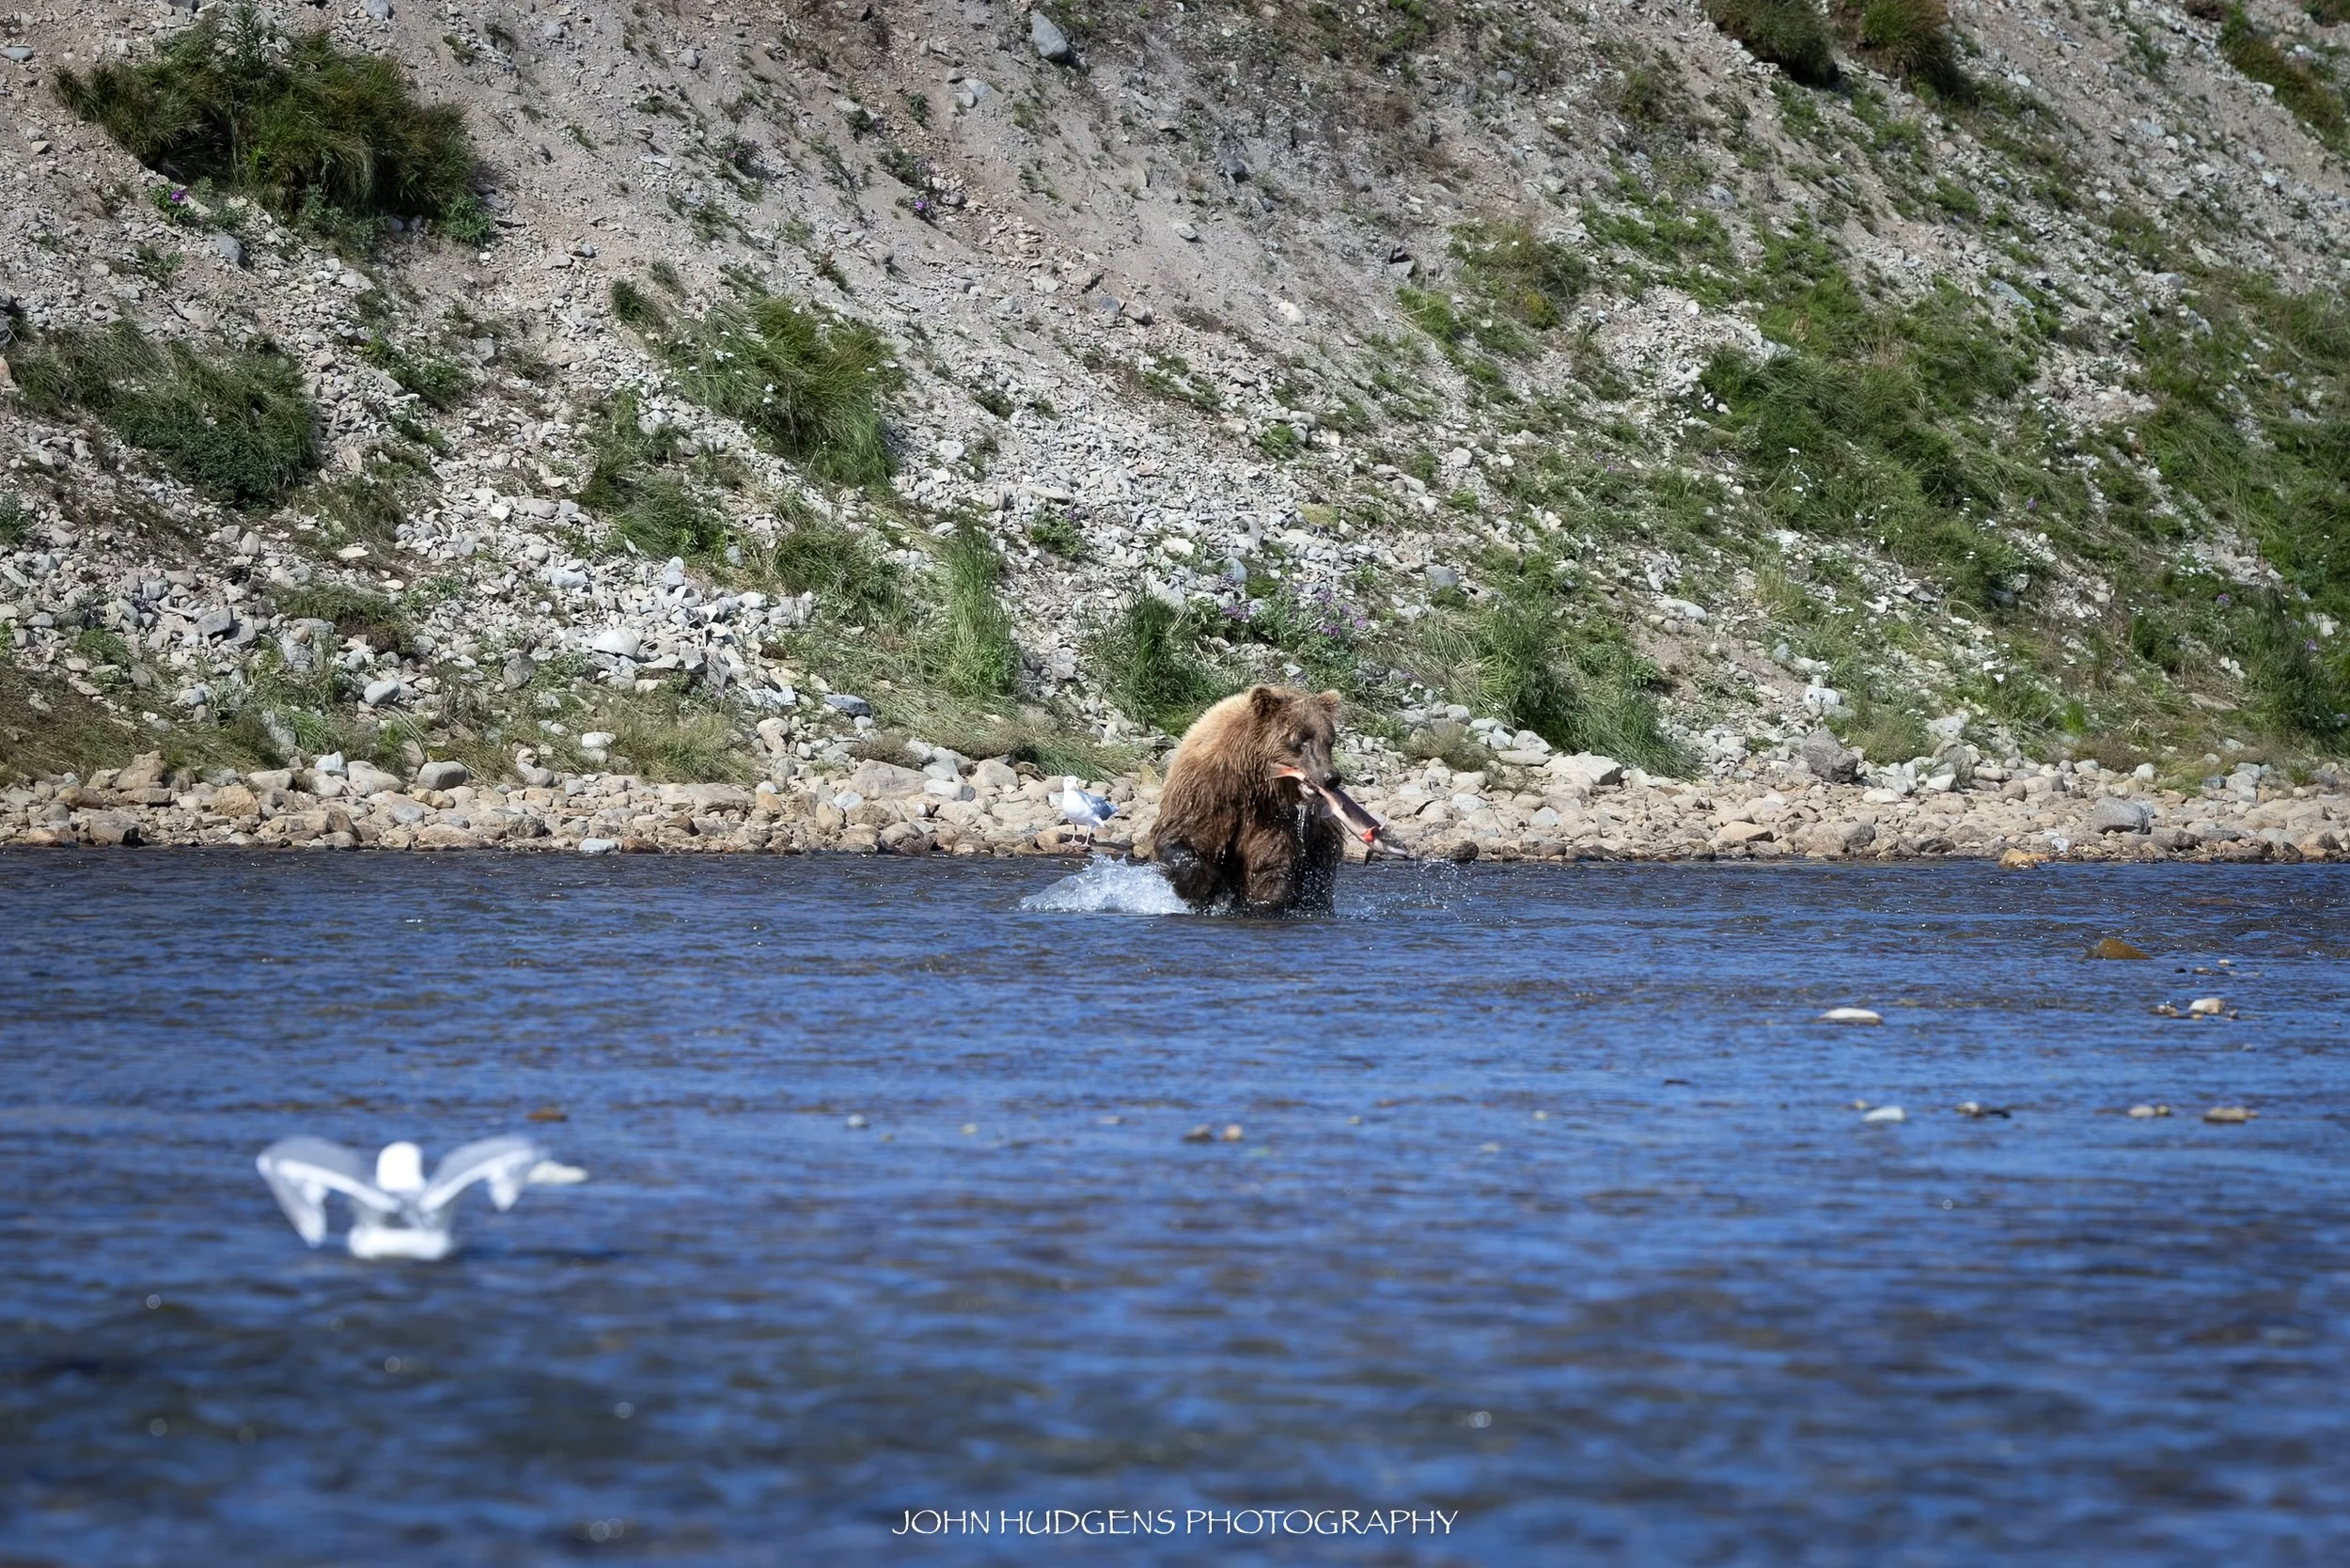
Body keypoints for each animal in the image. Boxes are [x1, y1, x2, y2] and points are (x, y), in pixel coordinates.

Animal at [1149, 685, 1351, 915]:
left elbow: (1267, 865)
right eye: (1301, 739)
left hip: (1319, 839)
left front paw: (1257, 904)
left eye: (1329, 741)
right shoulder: (1205, 792)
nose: (1331, 777)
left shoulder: (1275, 817)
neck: (1251, 781)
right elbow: (1183, 836)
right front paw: (1206, 887)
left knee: (1317, 879)